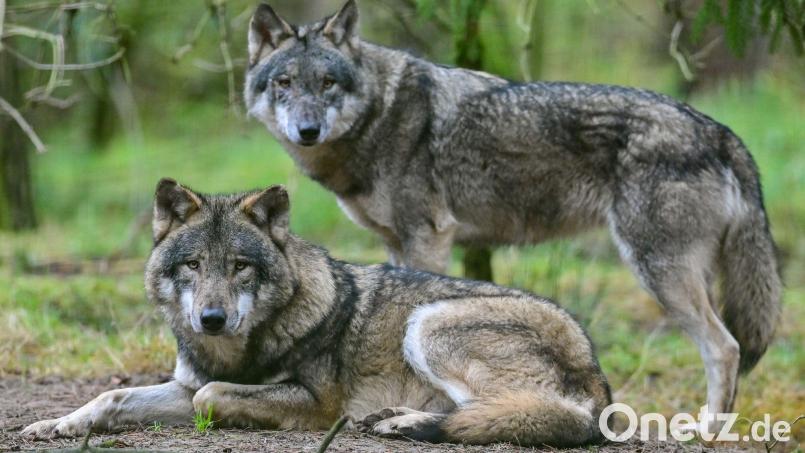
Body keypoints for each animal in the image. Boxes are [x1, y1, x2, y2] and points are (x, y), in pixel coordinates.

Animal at [22, 178, 611, 447]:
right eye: (192, 264)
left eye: (240, 267)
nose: (211, 319)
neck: (239, 350)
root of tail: (597, 374)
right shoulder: (186, 383)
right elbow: (113, 396)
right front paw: (55, 424)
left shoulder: (316, 403)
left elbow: (213, 396)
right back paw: (395, 418)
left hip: (430, 323)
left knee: (523, 413)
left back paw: (405, 423)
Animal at [243, 0, 782, 420]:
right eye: (284, 82)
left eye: (328, 83)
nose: (307, 130)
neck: (380, 115)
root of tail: (719, 130)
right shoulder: (397, 244)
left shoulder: (427, 237)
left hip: (658, 271)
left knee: (726, 348)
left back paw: (707, 431)